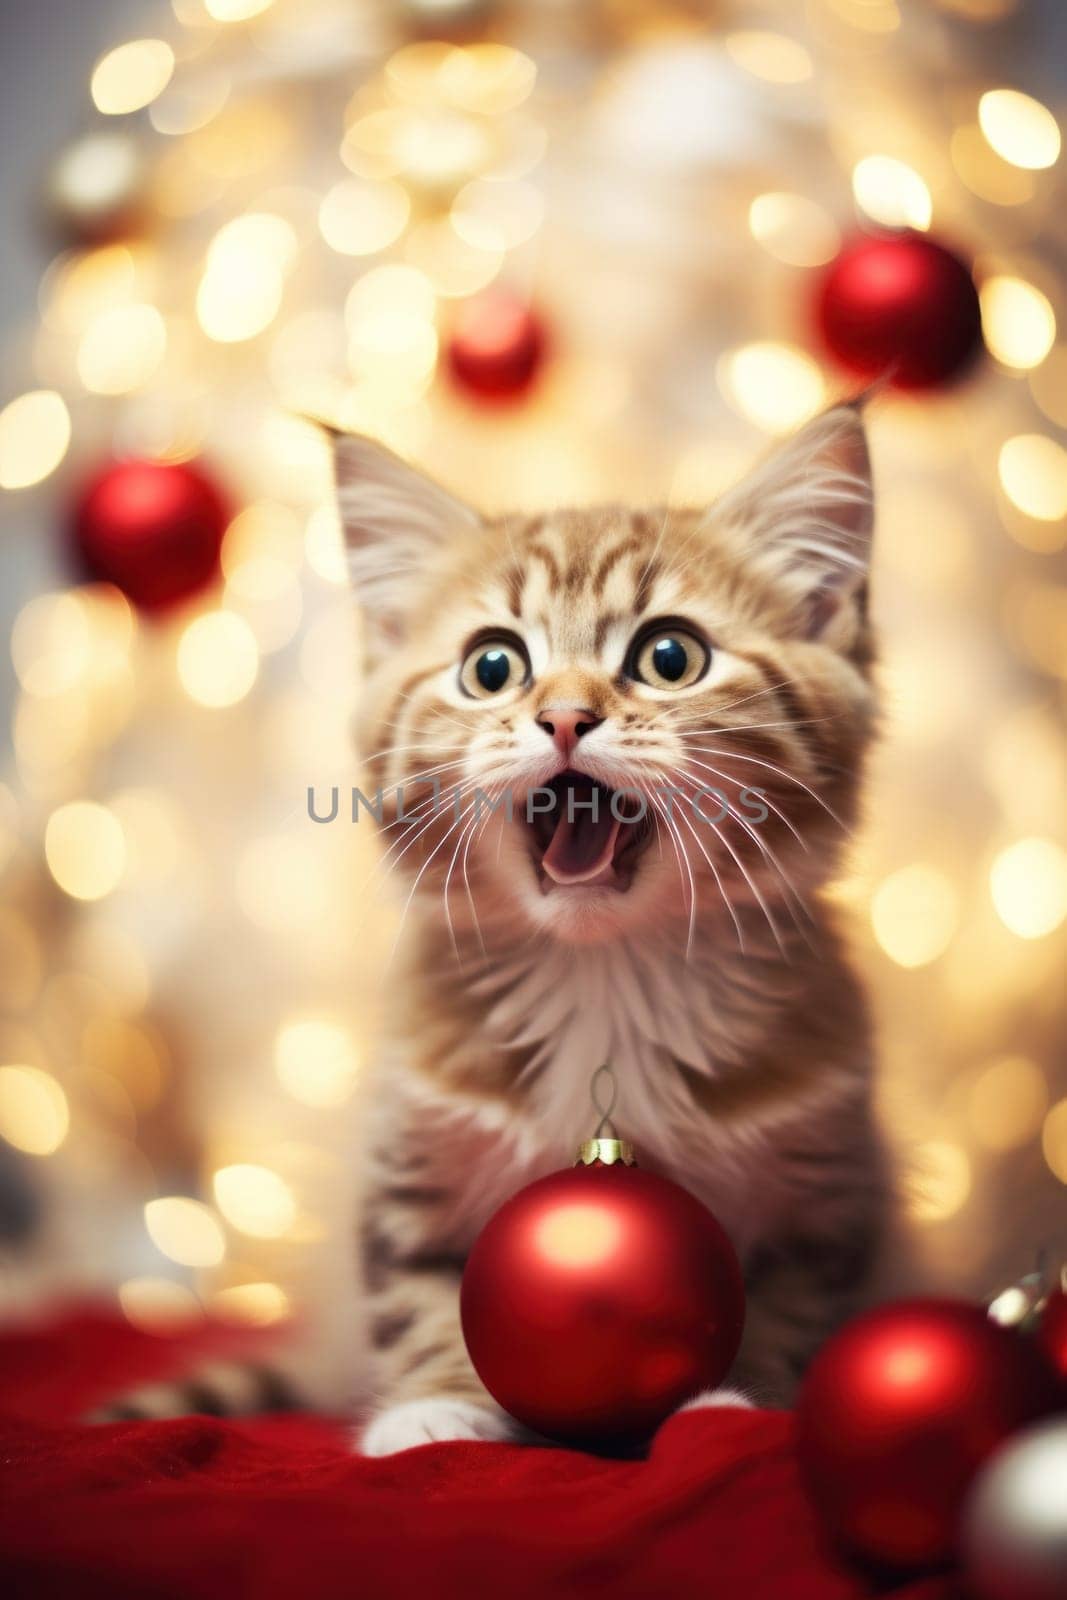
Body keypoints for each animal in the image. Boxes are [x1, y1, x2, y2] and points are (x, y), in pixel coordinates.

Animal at [91, 403, 895, 1452]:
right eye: (492, 666)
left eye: (668, 657)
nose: (564, 717)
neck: (605, 978)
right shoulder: (408, 1165)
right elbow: (422, 1292)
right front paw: (432, 1411)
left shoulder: (827, 1195)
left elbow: (786, 1310)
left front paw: (730, 1403)